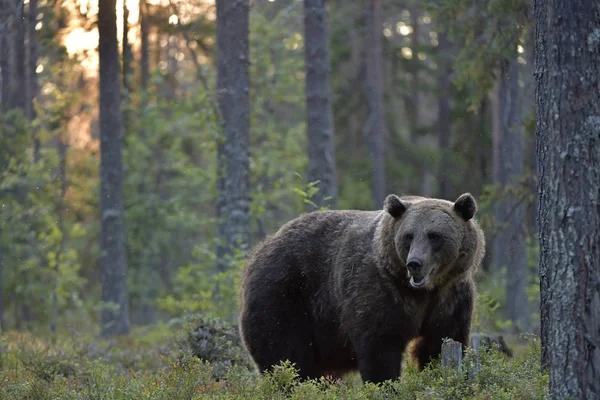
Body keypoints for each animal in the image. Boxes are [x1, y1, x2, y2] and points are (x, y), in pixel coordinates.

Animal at [237, 194, 486, 384]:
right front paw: (386, 385)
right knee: (285, 354)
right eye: (409, 235)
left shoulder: (451, 297)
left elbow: (441, 342)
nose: (414, 263)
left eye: (435, 235)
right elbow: (380, 347)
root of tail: (259, 249)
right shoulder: (377, 291)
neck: (423, 291)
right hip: (284, 295)